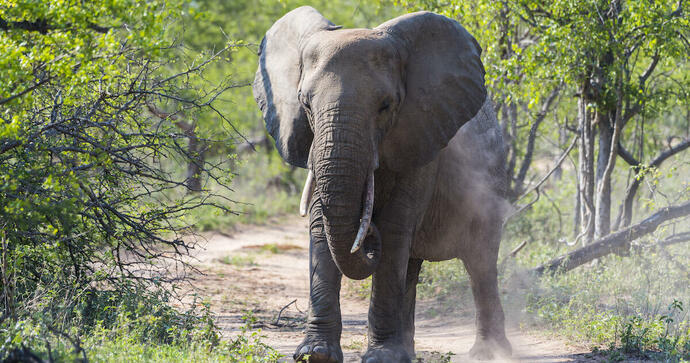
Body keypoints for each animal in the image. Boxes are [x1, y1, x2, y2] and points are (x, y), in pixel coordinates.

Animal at [253, 6, 510, 363]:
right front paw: (315, 354)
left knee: (480, 263)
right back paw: (409, 350)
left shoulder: (420, 140)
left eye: (386, 105)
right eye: (305, 104)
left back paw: (489, 352)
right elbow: (320, 226)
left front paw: (382, 357)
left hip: (491, 182)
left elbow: (393, 228)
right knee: (412, 268)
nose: (366, 236)